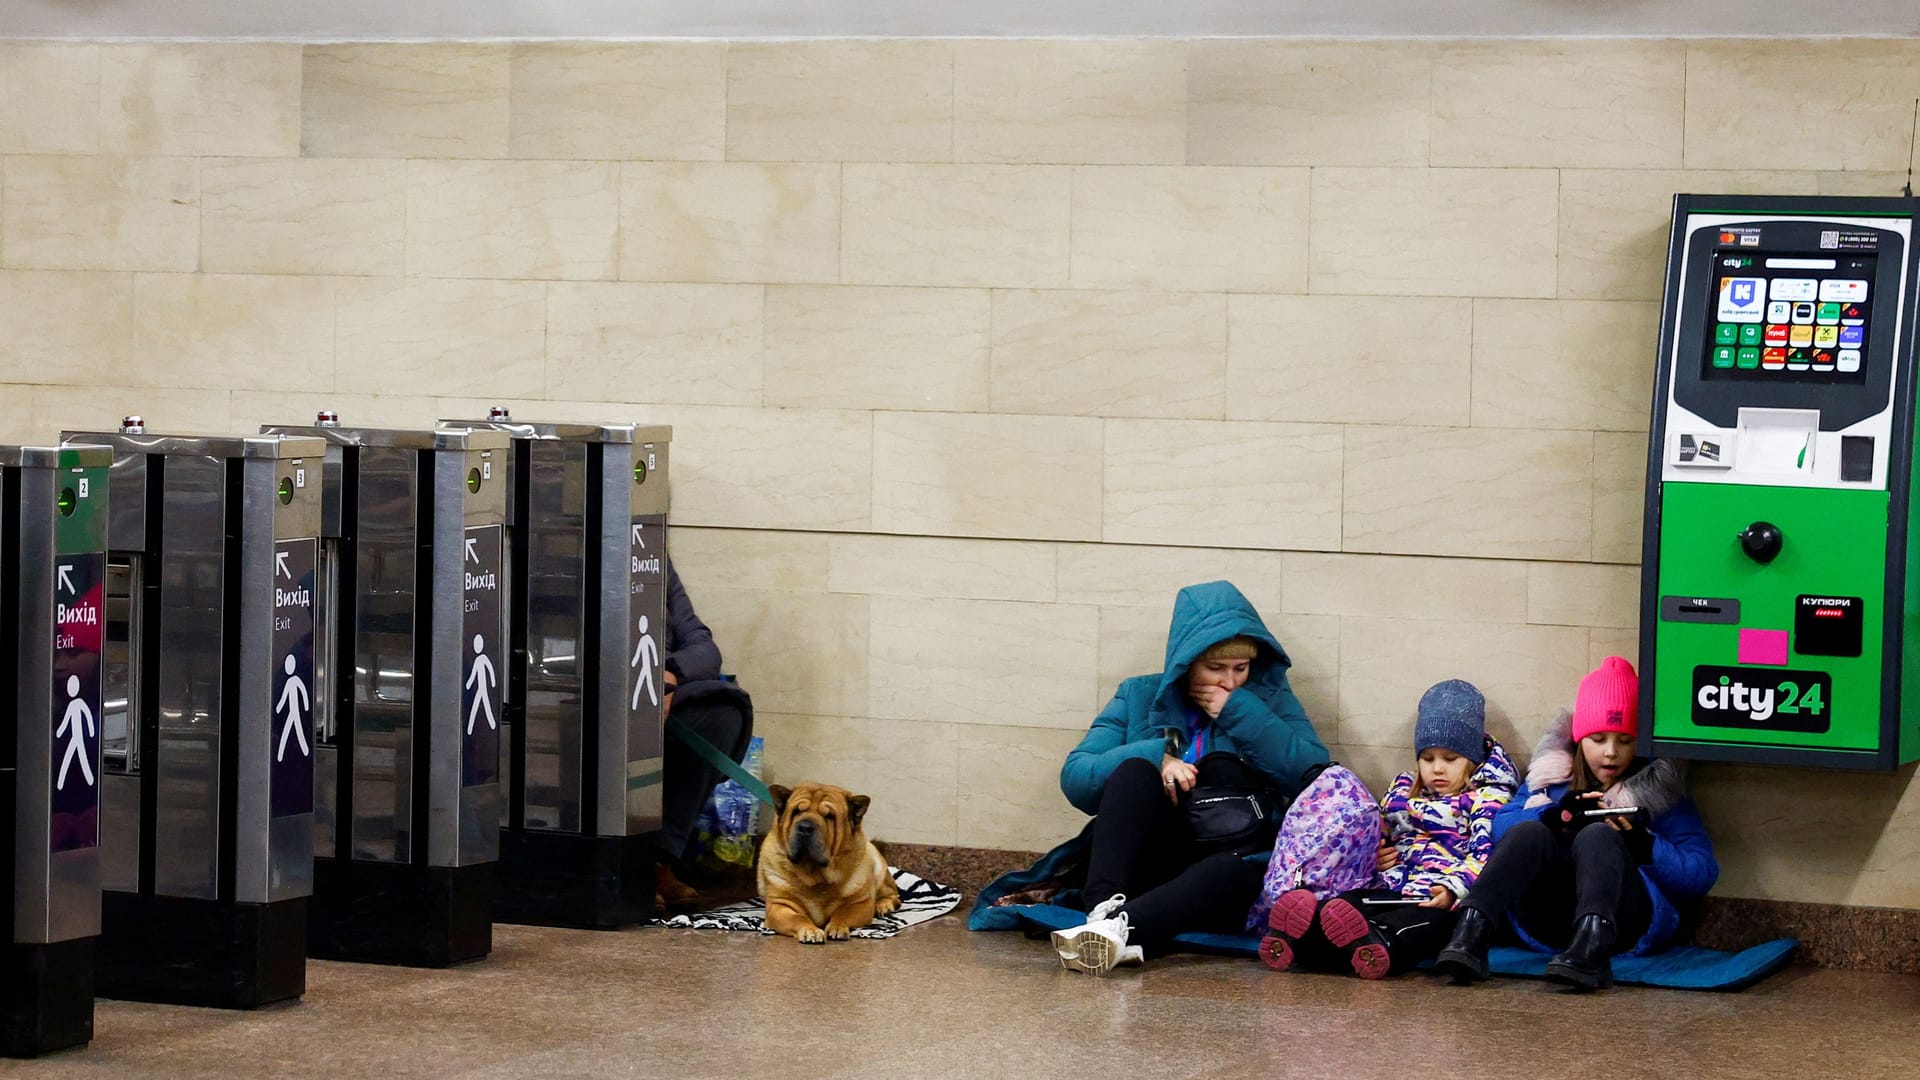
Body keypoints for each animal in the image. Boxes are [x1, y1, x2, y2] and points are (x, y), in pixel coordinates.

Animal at [756, 776, 898, 937]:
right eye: (796, 811)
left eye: (830, 816)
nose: (805, 827)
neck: (815, 875)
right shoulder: (779, 905)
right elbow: (798, 918)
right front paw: (810, 931)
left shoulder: (860, 904)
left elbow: (842, 914)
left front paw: (837, 928)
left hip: (879, 871)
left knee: (894, 895)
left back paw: (883, 905)